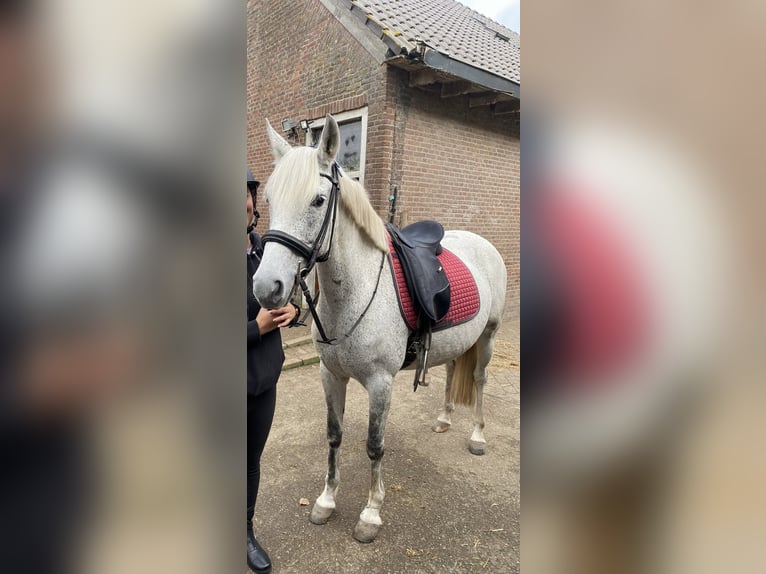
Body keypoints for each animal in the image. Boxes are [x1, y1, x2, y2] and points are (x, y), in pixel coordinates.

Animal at [254, 117, 510, 544]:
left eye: (318, 201)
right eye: (270, 200)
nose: (265, 287)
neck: (352, 296)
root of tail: (482, 243)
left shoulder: (380, 383)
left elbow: (374, 446)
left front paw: (371, 513)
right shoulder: (330, 375)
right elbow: (334, 436)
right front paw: (326, 501)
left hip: (488, 337)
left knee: (478, 379)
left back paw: (477, 436)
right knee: (452, 372)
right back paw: (444, 419)